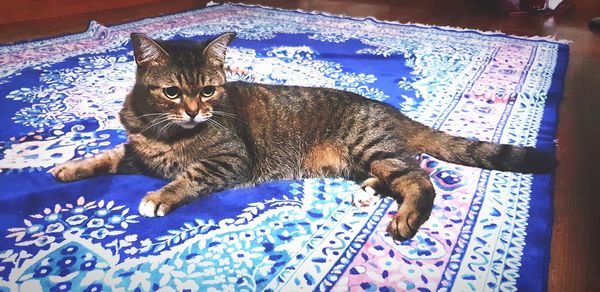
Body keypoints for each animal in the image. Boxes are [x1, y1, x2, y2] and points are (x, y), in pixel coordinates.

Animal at [49, 32, 556, 242]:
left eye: (209, 90)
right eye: (173, 92)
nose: (195, 111)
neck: (166, 131)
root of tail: (392, 111)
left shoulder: (228, 161)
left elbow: (188, 177)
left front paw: (160, 196)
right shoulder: (138, 152)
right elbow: (107, 155)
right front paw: (70, 167)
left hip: (370, 146)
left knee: (420, 178)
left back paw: (406, 218)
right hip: (366, 158)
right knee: (399, 172)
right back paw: (368, 193)